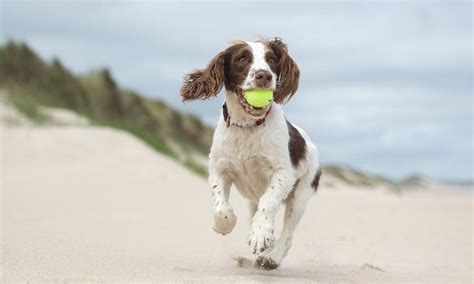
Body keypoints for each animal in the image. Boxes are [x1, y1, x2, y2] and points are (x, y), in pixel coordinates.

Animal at [180, 37, 320, 270]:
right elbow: (220, 206)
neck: (248, 126)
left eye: (272, 59)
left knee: (288, 233)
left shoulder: (283, 173)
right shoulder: (219, 168)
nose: (264, 76)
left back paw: (271, 257)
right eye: (242, 59)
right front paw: (225, 225)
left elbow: (269, 200)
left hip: (301, 194)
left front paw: (261, 234)